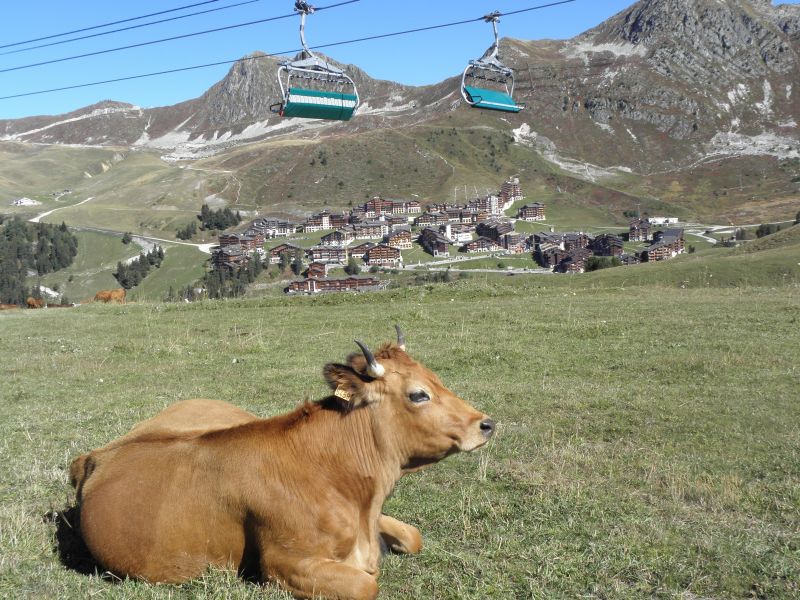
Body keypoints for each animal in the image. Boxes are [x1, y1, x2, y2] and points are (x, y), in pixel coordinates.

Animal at [70, 328, 494, 600]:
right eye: (419, 394)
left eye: (435, 378)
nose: (485, 424)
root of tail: (98, 454)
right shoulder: (285, 564)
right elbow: (365, 584)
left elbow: (412, 536)